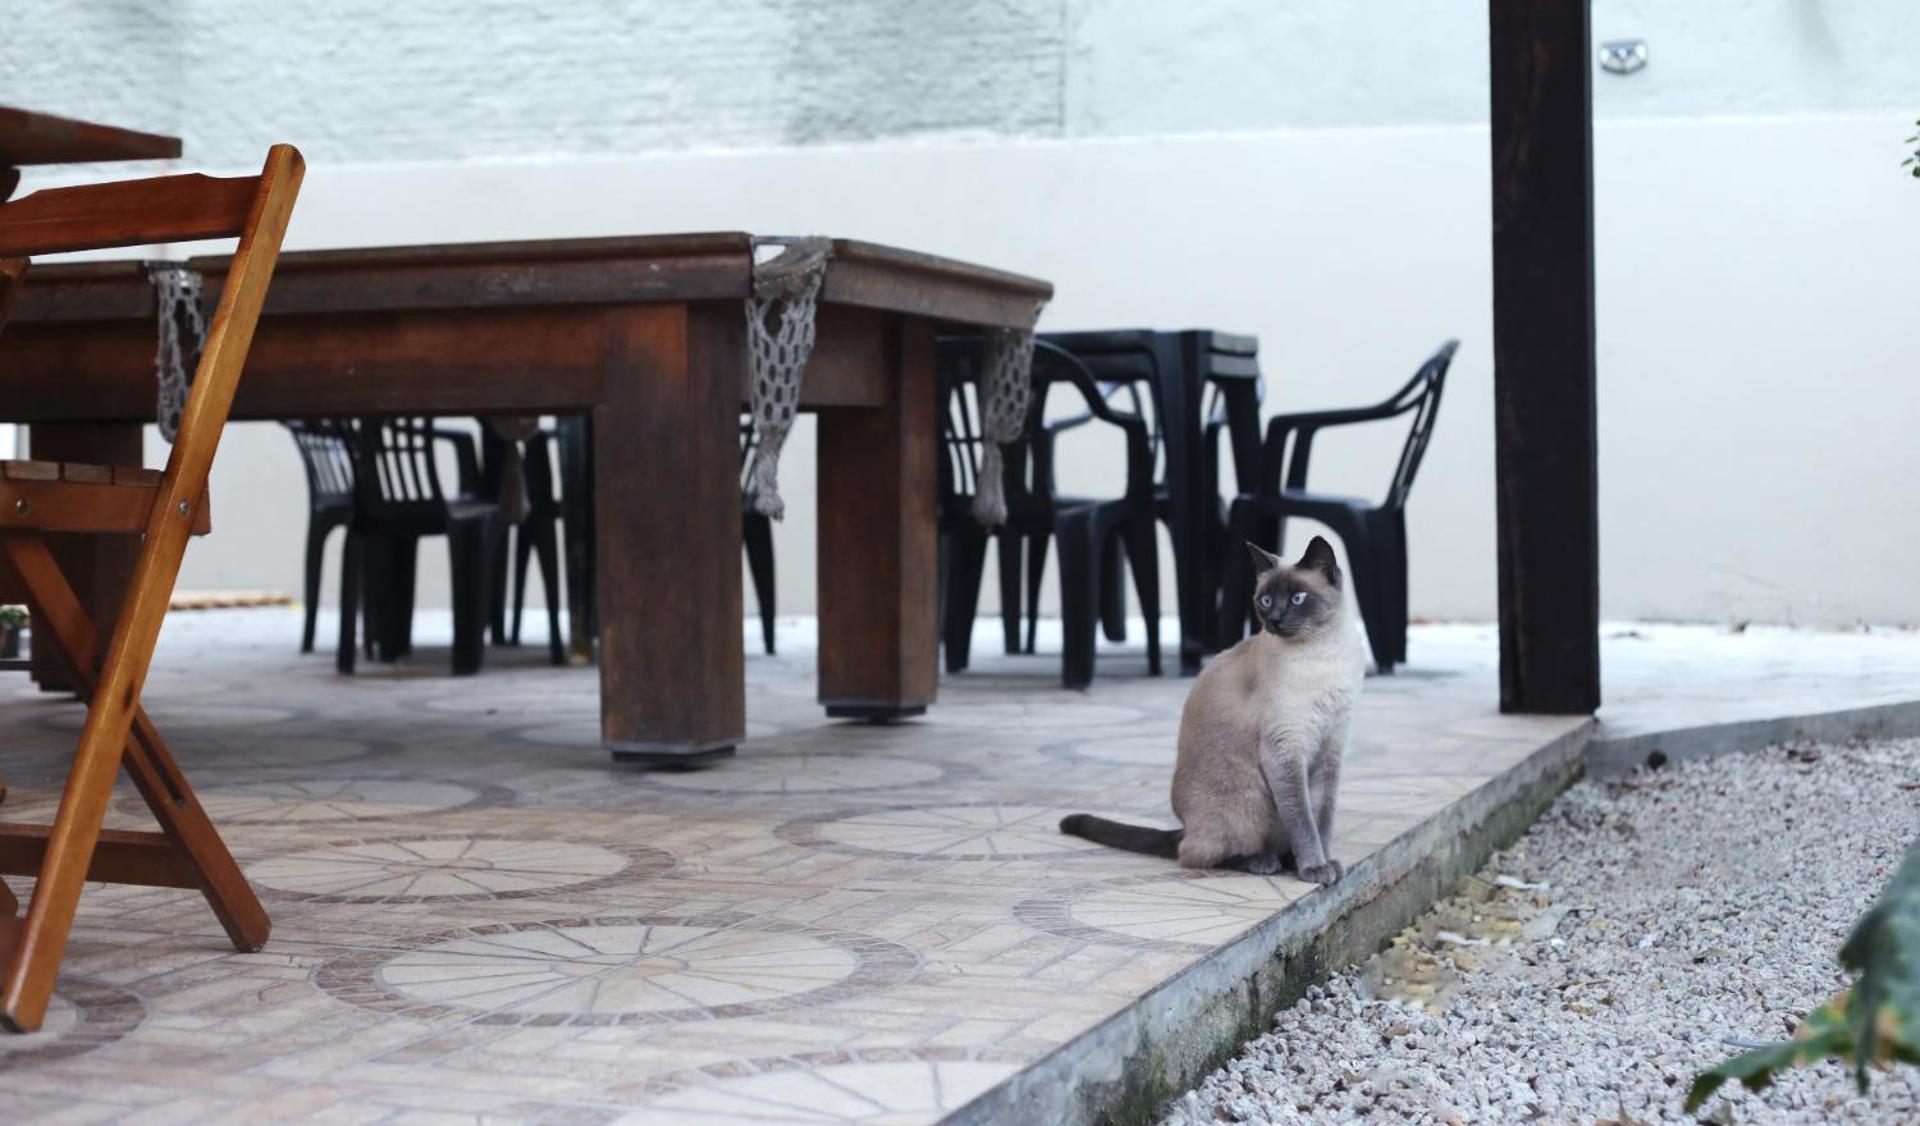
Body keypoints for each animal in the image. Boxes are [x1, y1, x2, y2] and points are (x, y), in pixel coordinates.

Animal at [1067, 538, 1367, 883]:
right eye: (1265, 600)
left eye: (1297, 598)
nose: (1274, 620)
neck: (1323, 653)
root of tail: (1184, 826)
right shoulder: (1285, 750)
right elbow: (1303, 820)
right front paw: (1315, 868)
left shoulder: (1331, 748)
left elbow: (1323, 818)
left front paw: (1328, 862)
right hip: (1246, 803)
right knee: (1196, 855)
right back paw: (1263, 861)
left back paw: (1288, 860)